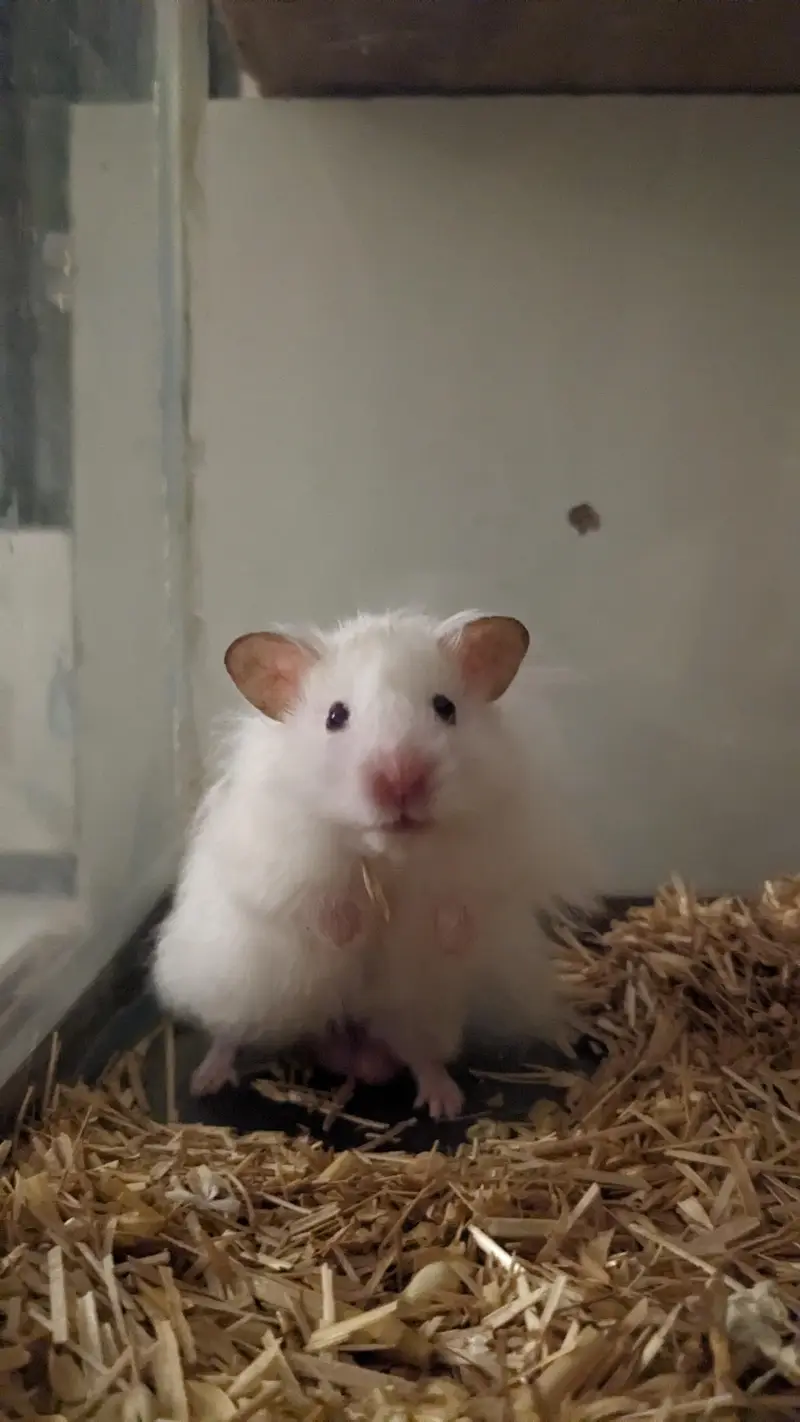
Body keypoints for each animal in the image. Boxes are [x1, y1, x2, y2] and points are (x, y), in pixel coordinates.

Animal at [152, 609, 595, 1119]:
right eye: (335, 716)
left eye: (445, 707)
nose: (401, 781)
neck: (388, 852)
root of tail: (346, 1041)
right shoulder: (280, 855)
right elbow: (320, 899)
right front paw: (349, 932)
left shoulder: (488, 854)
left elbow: (459, 902)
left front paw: (448, 937)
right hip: (241, 986)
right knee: (229, 1033)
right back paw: (208, 1079)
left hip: (421, 1008)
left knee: (420, 1054)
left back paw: (443, 1101)